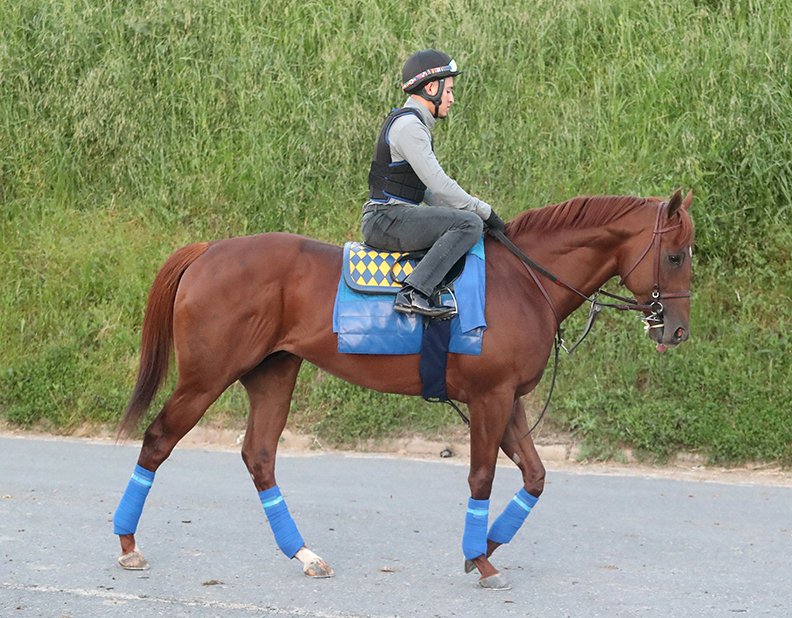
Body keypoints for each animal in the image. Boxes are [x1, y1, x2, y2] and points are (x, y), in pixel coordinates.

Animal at [111, 188, 692, 588]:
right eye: (677, 255)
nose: (677, 331)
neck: (523, 282)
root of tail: (209, 251)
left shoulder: (509, 401)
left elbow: (535, 476)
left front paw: (488, 546)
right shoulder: (490, 398)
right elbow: (482, 477)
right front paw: (479, 558)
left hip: (273, 372)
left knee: (259, 456)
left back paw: (303, 553)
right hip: (207, 377)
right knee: (158, 440)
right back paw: (128, 543)